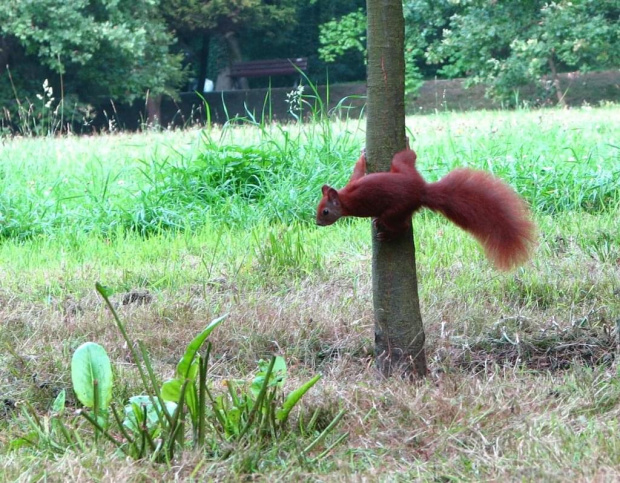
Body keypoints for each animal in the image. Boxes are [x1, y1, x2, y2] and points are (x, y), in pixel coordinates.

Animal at [318, 149, 536, 270]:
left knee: (401, 225)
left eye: (325, 212)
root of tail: (421, 191)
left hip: (395, 210)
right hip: (402, 169)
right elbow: (357, 171)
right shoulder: (352, 182)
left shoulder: (357, 201)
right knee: (405, 158)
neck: (344, 198)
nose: (318, 223)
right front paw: (362, 157)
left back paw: (387, 233)